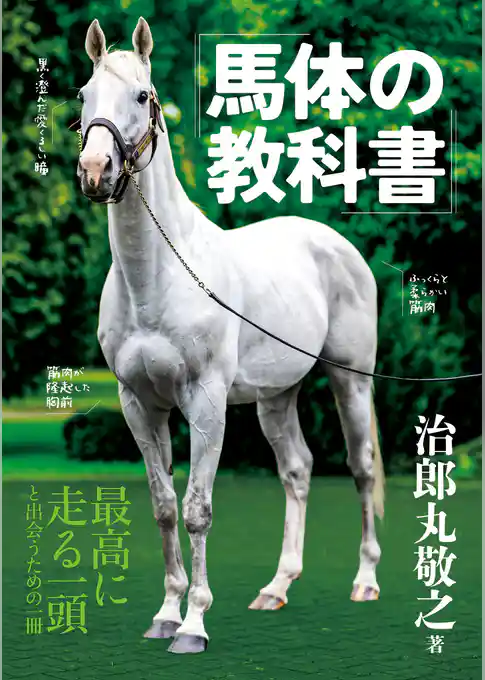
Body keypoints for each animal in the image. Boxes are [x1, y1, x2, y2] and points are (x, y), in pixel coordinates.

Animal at [77, 17, 384, 654]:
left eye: (141, 96)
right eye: (84, 97)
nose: (95, 172)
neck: (156, 280)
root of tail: (336, 244)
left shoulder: (206, 402)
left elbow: (198, 509)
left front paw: (194, 625)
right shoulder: (139, 404)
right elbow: (164, 506)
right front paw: (165, 615)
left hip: (351, 380)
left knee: (361, 466)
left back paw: (365, 581)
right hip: (276, 397)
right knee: (298, 469)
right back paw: (277, 587)